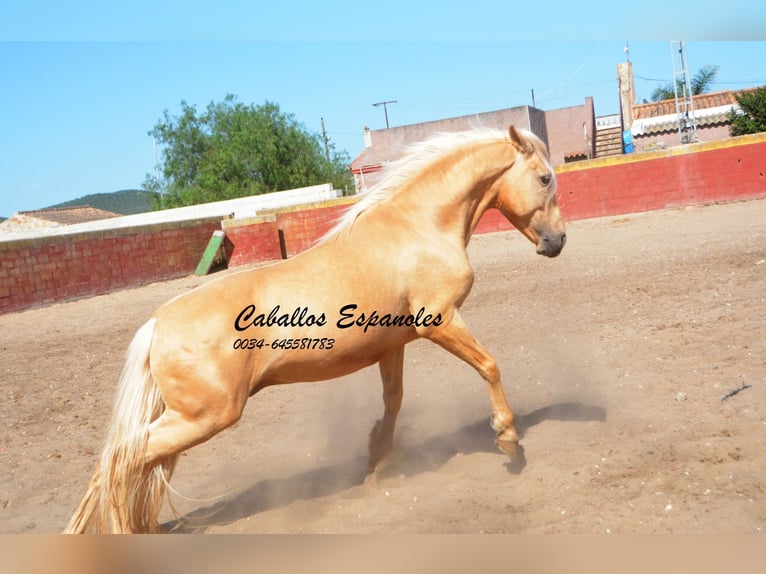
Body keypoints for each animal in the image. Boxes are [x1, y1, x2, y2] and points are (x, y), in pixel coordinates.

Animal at [66, 125, 568, 536]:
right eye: (545, 178)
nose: (558, 241)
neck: (416, 229)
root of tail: (156, 324)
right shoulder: (440, 321)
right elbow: (489, 365)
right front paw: (508, 440)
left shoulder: (393, 346)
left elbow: (393, 401)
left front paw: (376, 465)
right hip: (205, 415)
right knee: (119, 459)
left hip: (185, 417)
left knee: (124, 464)